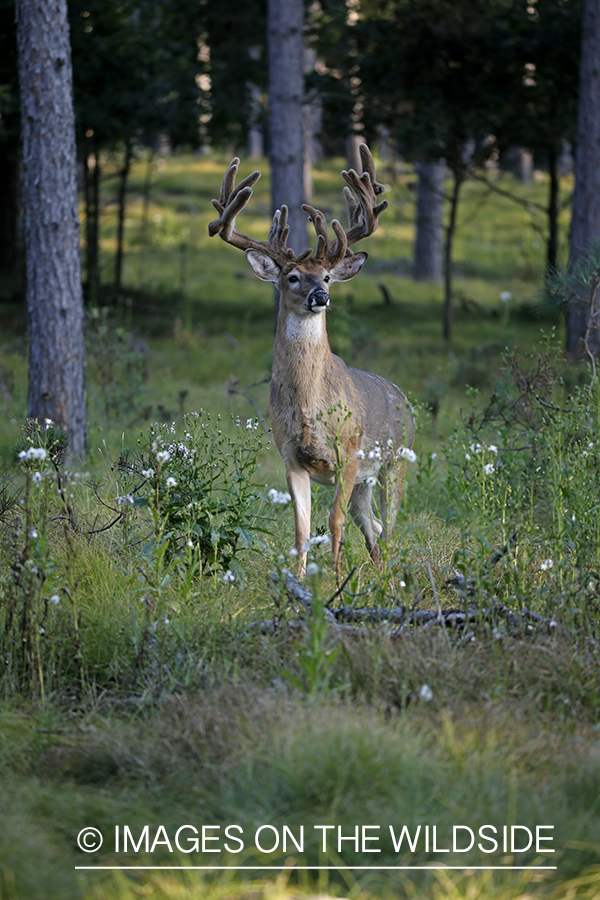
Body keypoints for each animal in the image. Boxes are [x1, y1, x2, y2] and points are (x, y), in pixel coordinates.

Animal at [210, 143, 412, 572]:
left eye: (328, 276)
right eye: (292, 277)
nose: (321, 296)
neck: (309, 406)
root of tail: (405, 399)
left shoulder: (347, 452)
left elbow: (333, 521)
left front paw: (333, 577)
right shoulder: (290, 456)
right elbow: (301, 528)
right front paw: (301, 579)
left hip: (395, 461)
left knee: (388, 527)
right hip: (366, 480)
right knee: (372, 527)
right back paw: (378, 573)